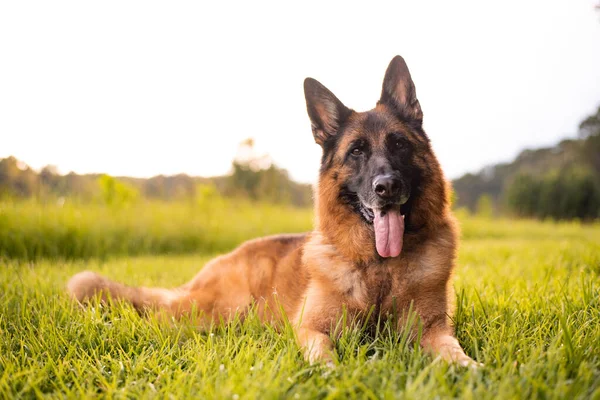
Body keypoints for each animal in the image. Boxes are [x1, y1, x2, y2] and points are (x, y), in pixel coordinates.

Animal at [67, 54, 478, 368]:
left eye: (399, 144)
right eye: (357, 151)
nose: (387, 187)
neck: (380, 268)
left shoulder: (432, 329)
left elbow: (451, 350)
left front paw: (469, 370)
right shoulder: (312, 329)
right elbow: (324, 354)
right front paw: (331, 374)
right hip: (217, 310)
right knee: (159, 313)